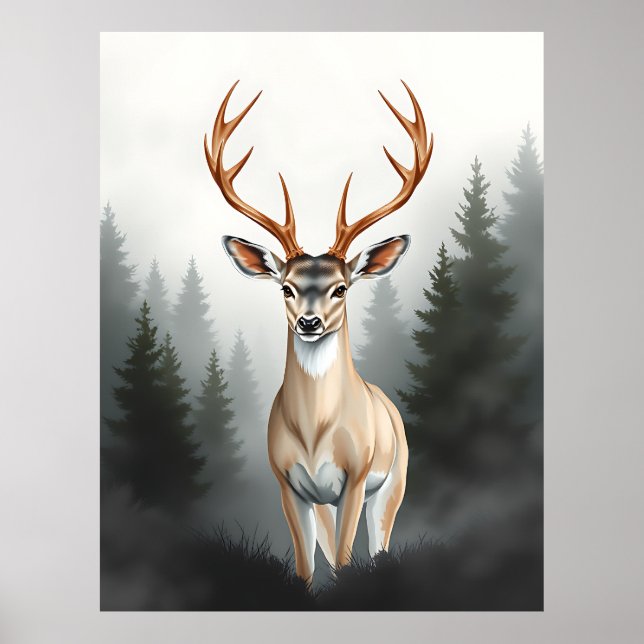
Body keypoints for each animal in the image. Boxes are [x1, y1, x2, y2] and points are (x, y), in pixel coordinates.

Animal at [204, 81, 433, 585]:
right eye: (286, 287)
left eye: (341, 287)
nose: (309, 322)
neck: (314, 433)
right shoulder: (288, 482)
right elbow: (307, 565)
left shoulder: (356, 476)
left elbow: (348, 558)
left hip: (396, 479)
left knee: (380, 544)